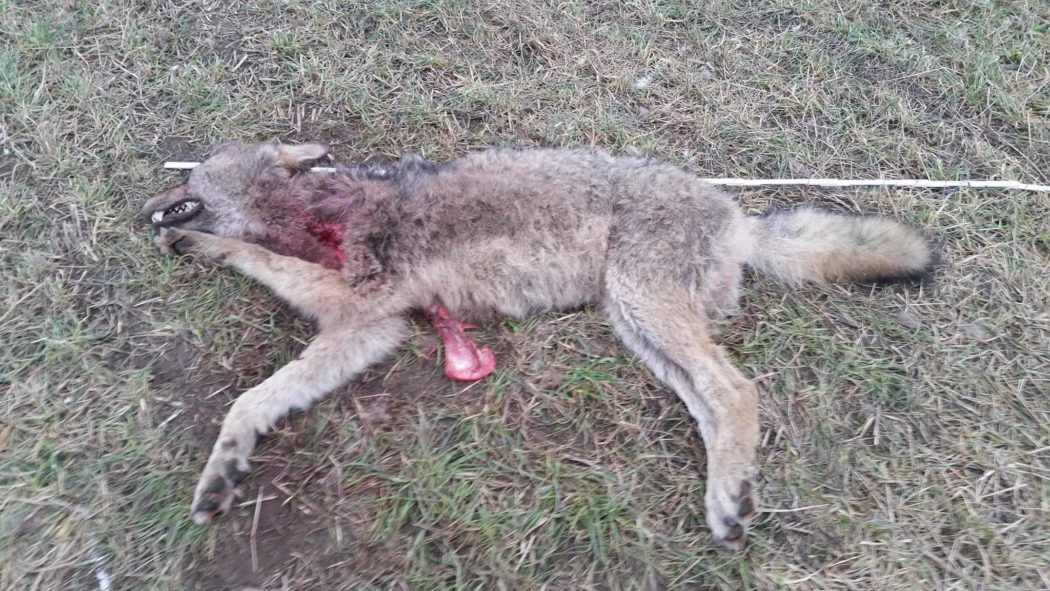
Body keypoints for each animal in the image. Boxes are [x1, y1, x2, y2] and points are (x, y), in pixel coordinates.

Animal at [142, 141, 933, 548]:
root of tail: (741, 217)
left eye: (192, 171)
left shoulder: (363, 313)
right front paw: (226, 468)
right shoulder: (361, 326)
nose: (146, 201)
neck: (313, 208)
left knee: (738, 391)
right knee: (715, 407)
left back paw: (730, 498)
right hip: (639, 329)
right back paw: (727, 492)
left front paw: (202, 242)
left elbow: (254, 340)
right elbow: (255, 396)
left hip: (645, 310)